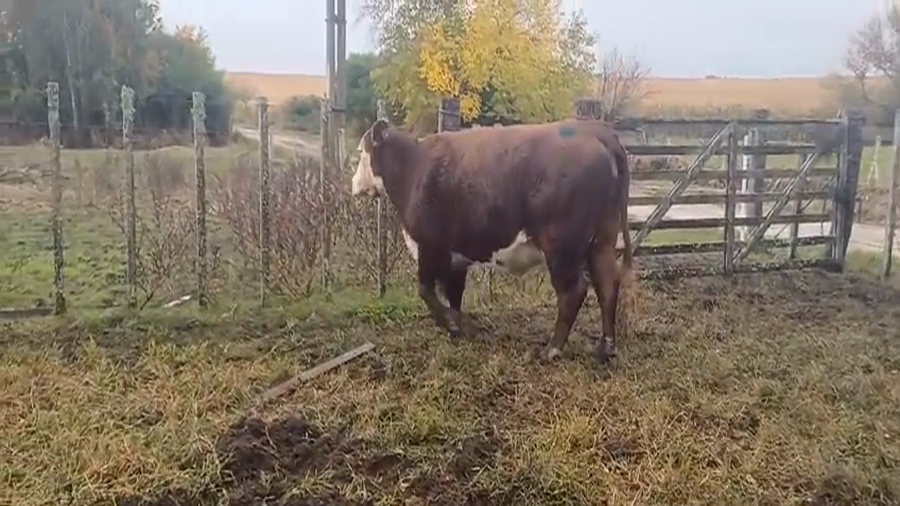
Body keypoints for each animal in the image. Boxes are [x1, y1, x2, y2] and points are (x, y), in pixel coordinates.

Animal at [351, 119, 633, 363]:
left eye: (361, 152)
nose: (353, 183)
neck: (413, 168)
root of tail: (593, 129)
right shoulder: (455, 256)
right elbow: (454, 294)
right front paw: (459, 328)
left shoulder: (430, 247)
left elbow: (426, 290)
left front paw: (452, 326)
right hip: (602, 240)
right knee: (607, 285)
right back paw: (606, 349)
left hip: (561, 247)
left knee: (573, 292)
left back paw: (551, 350)